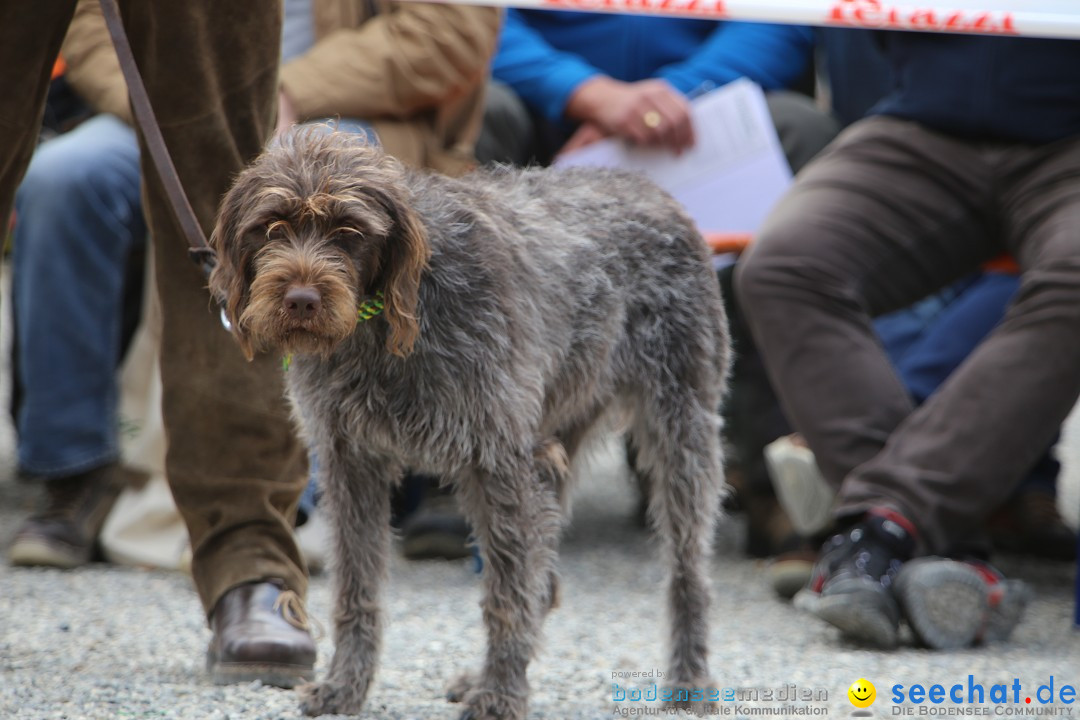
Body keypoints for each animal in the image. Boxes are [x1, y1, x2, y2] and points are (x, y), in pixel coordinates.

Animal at [208, 131, 734, 720]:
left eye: (349, 232)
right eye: (271, 226)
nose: (300, 300)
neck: (385, 321)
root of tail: (654, 190)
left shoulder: (500, 464)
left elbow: (506, 596)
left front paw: (501, 695)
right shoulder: (351, 464)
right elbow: (356, 585)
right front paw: (346, 686)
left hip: (681, 433)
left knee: (687, 572)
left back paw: (689, 679)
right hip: (557, 441)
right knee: (543, 581)